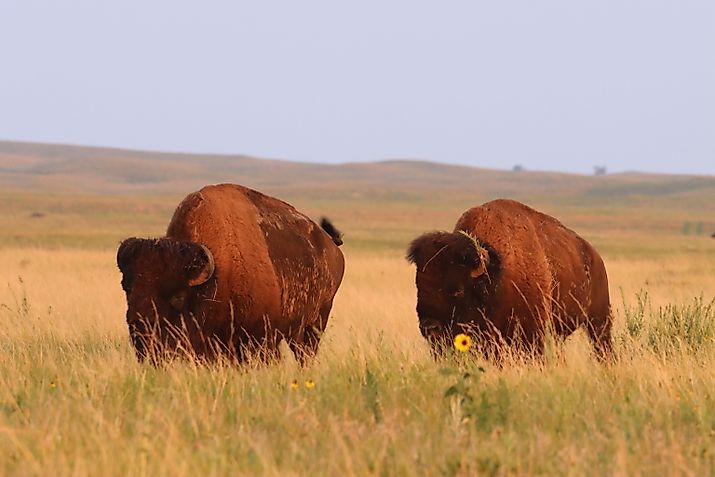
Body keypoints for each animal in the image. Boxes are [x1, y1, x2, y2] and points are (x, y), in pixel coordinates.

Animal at [117, 184, 345, 363]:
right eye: (127, 289)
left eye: (178, 297)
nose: (139, 330)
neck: (215, 275)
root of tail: (332, 246)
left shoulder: (260, 339)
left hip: (314, 325)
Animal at [407, 199, 612, 359]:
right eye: (418, 286)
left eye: (458, 290)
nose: (429, 328)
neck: (495, 274)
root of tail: (594, 256)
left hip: (599, 322)